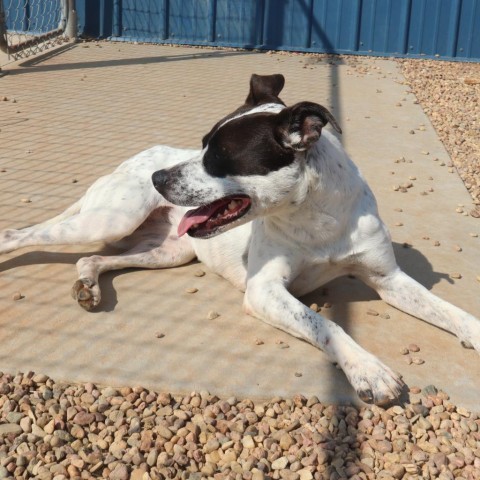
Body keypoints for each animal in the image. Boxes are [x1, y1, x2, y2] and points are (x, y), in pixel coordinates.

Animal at [0, 75, 480, 404]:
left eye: (218, 156)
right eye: (201, 145)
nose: (158, 179)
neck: (317, 219)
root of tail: (133, 159)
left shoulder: (389, 280)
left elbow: (451, 311)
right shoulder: (264, 290)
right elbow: (326, 324)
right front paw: (368, 368)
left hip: (170, 251)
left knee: (94, 260)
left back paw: (88, 285)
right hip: (109, 221)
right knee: (17, 234)